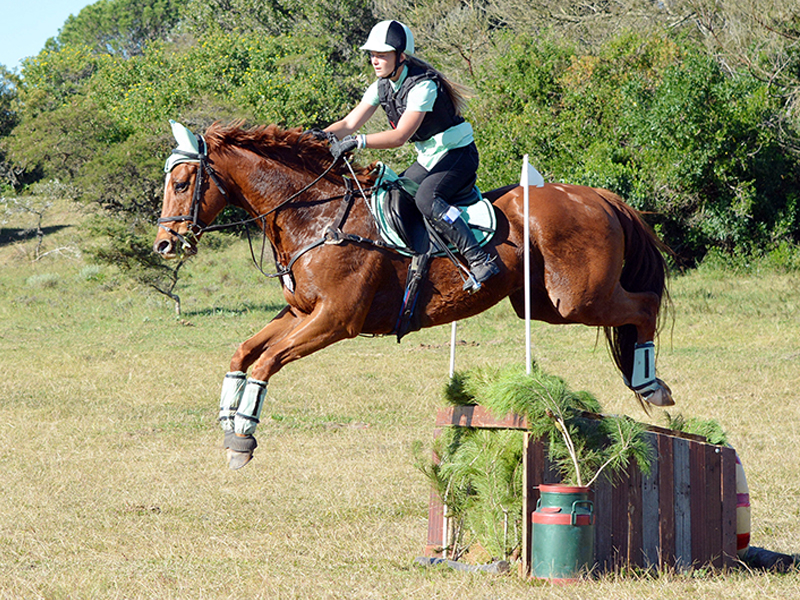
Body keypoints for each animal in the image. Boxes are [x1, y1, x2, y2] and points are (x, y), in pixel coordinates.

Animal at [154, 121, 673, 469]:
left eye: (181, 183)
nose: (165, 244)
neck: (316, 217)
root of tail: (601, 197)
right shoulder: (299, 312)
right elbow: (243, 352)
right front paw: (227, 417)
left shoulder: (335, 320)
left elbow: (266, 362)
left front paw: (242, 437)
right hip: (545, 305)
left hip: (576, 300)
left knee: (644, 305)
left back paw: (651, 383)